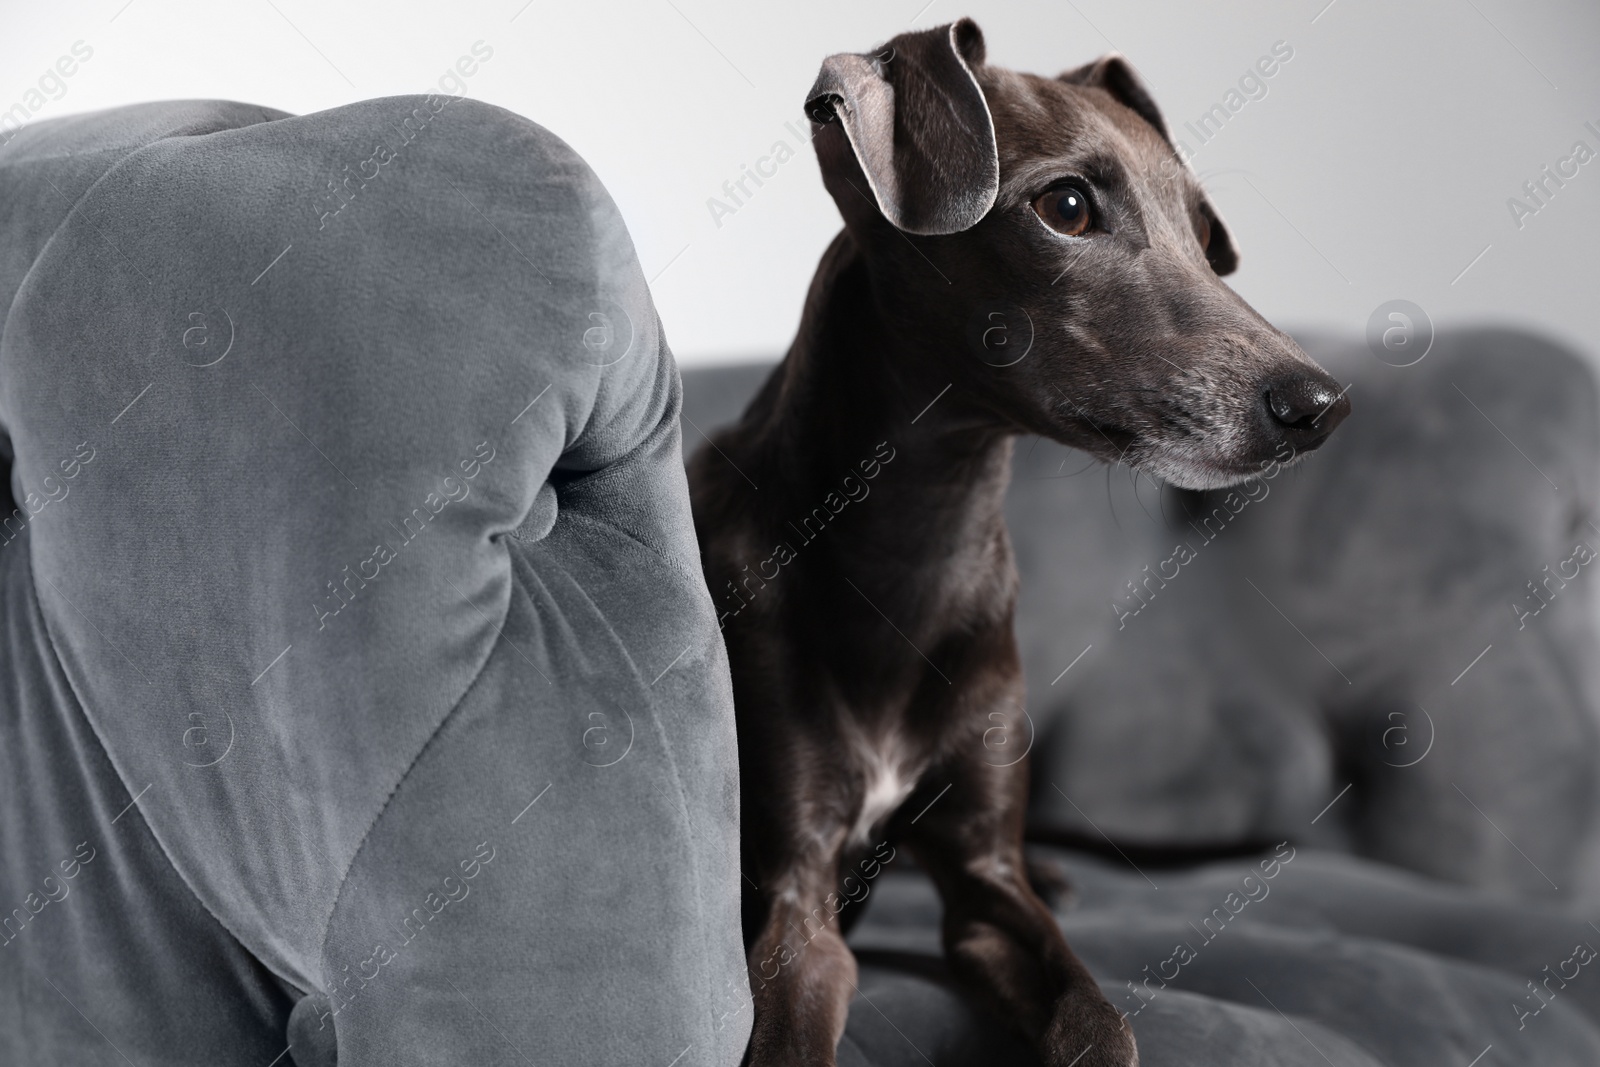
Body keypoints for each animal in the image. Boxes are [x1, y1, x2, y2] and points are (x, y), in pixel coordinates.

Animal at [688, 18, 1350, 1067]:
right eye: (1066, 206)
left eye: (1208, 237)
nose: (1320, 405)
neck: (915, 542)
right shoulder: (797, 893)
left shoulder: (987, 881)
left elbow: (1099, 1020)